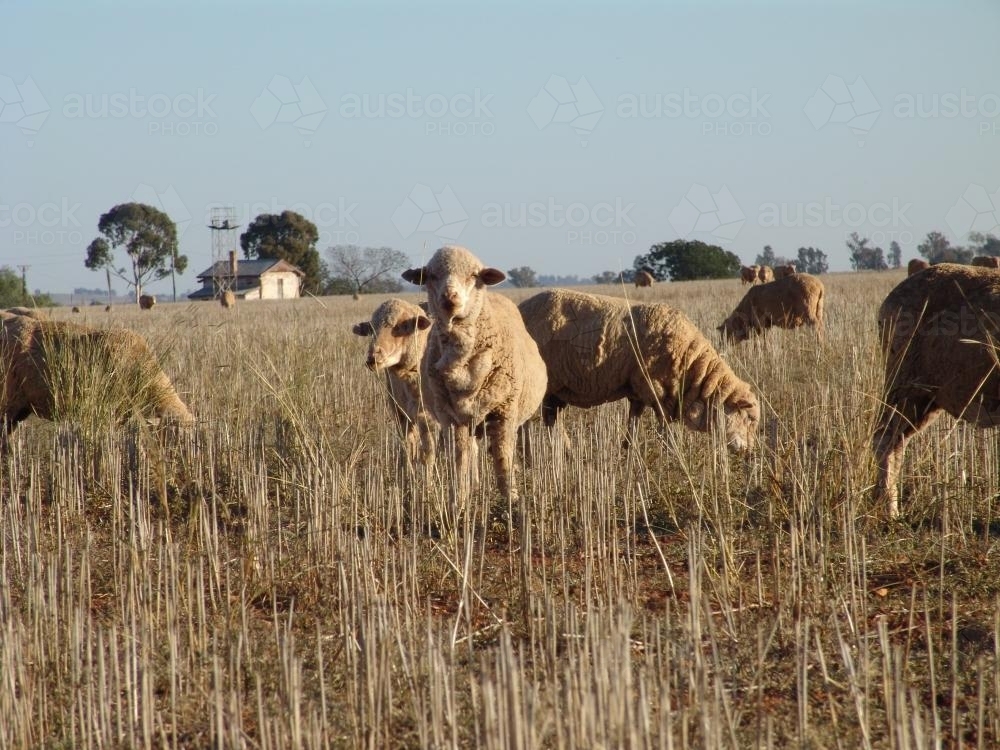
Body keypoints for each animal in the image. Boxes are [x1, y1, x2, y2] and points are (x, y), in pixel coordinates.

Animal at [352, 299, 438, 471]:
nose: (372, 358)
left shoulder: (429, 418)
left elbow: (428, 456)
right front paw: (408, 473)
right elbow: (408, 446)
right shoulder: (401, 413)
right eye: (371, 329)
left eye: (401, 326)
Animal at [401, 245, 546, 504]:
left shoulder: (505, 414)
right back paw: (475, 486)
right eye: (431, 276)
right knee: (471, 451)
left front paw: (512, 499)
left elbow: (502, 459)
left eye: (472, 275)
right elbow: (459, 460)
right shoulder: (450, 418)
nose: (449, 298)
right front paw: (458, 500)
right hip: (469, 421)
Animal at [518, 288, 759, 452]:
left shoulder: (638, 391)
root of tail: (521, 307)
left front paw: (628, 451)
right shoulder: (657, 391)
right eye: (749, 418)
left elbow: (633, 422)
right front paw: (671, 455)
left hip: (556, 389)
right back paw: (528, 456)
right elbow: (665, 427)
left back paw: (562, 452)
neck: (693, 366)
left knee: (551, 419)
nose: (749, 452)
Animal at [873, 263, 1000, 517]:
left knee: (897, 443)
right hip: (905, 385)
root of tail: (888, 303)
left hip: (926, 398)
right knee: (884, 439)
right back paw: (890, 511)